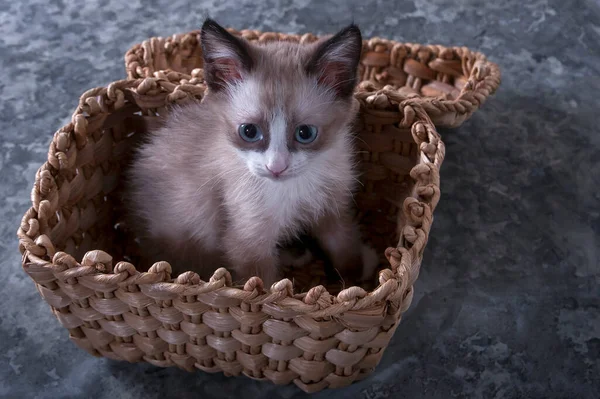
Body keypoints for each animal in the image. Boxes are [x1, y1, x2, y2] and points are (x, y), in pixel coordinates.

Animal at [128, 18, 378, 286]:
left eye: (305, 133)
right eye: (249, 131)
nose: (276, 167)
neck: (295, 188)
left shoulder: (333, 210)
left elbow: (345, 249)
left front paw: (357, 282)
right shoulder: (248, 242)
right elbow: (264, 285)